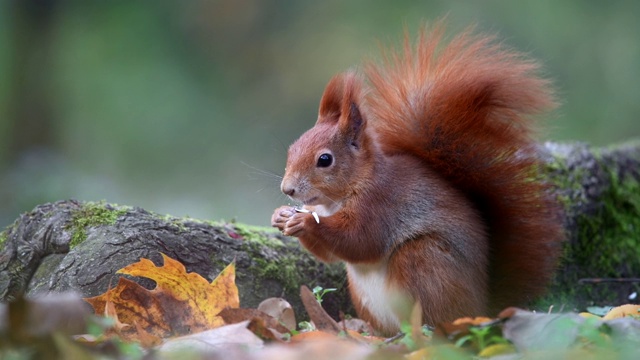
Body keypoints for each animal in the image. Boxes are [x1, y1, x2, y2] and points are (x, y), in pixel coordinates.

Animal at [270, 26, 564, 334]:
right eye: (292, 149)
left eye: (325, 159)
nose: (287, 189)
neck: (340, 197)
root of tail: (485, 306)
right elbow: (331, 255)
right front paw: (280, 216)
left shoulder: (381, 204)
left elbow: (360, 241)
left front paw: (304, 222)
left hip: (422, 260)